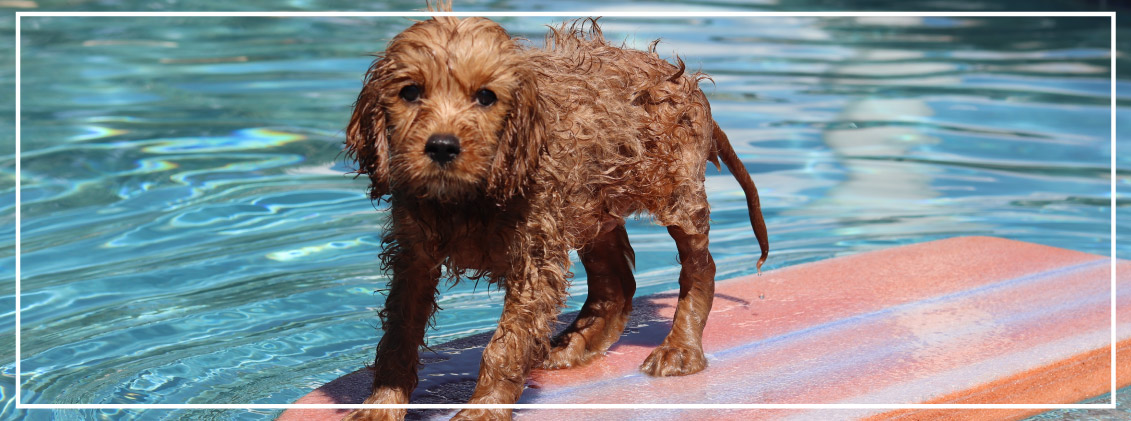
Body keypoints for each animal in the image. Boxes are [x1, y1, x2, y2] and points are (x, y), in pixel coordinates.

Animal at [343, 11, 769, 418]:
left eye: (486, 97)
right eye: (410, 92)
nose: (442, 147)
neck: (468, 196)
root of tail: (682, 78)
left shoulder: (534, 257)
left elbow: (504, 347)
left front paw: (482, 410)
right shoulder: (414, 258)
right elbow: (398, 337)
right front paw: (381, 405)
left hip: (675, 193)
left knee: (699, 268)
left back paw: (680, 348)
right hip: (590, 204)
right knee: (615, 282)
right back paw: (575, 344)